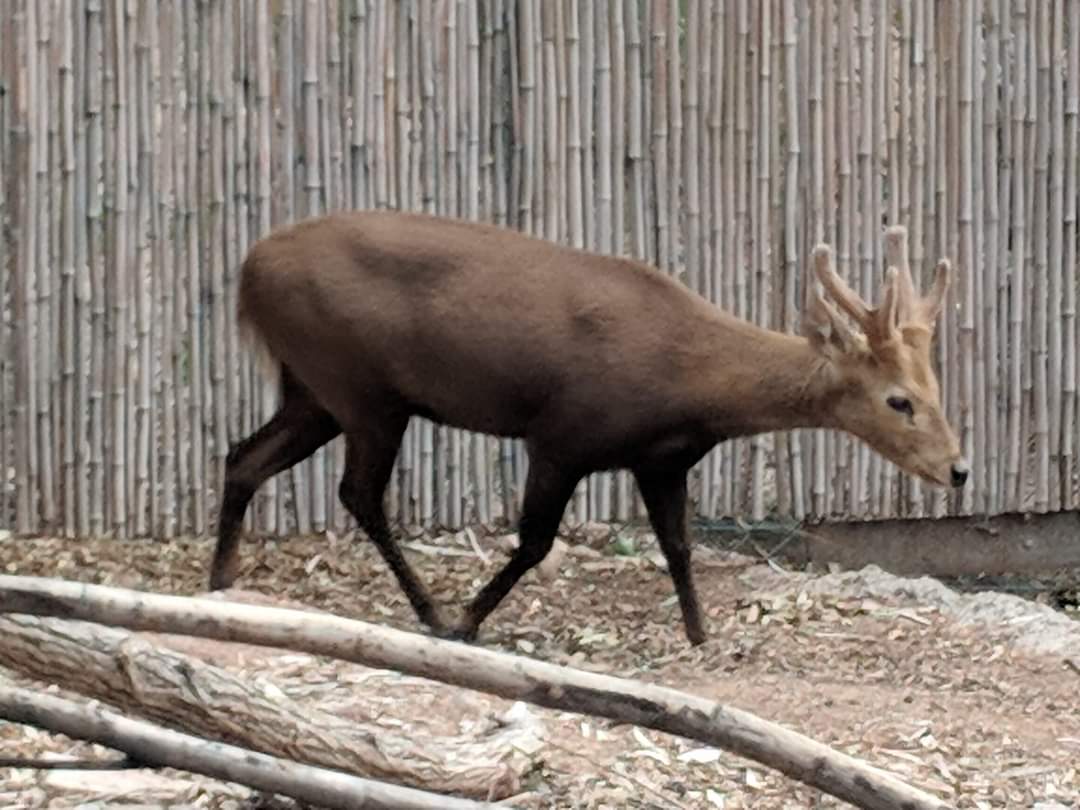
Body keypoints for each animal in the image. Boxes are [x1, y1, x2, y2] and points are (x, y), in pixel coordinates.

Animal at [209, 209, 968, 647]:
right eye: (899, 400)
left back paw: (219, 584)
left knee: (241, 457)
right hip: (362, 388)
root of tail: (248, 272)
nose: (958, 468)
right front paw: (469, 622)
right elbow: (535, 542)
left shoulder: (660, 458)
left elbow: (679, 546)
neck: (689, 383)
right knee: (358, 492)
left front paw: (700, 634)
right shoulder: (563, 435)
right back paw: (430, 614)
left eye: (937, 387)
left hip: (312, 388)